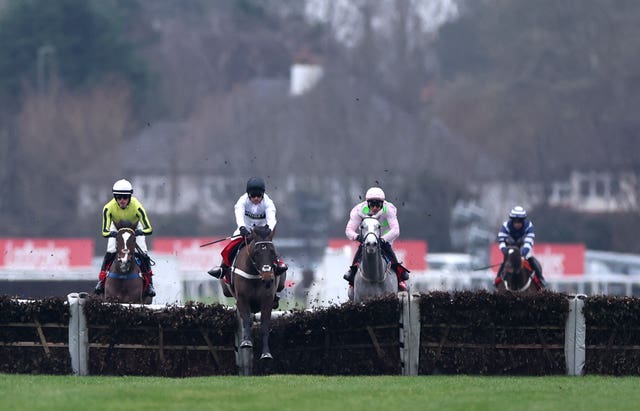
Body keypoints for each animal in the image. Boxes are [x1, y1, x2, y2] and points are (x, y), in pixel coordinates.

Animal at [222, 225, 288, 360]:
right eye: (257, 252)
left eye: (272, 252)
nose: (267, 278)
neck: (254, 274)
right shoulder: (242, 298)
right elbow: (247, 320)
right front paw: (246, 342)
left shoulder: (267, 300)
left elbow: (265, 325)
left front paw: (266, 353)